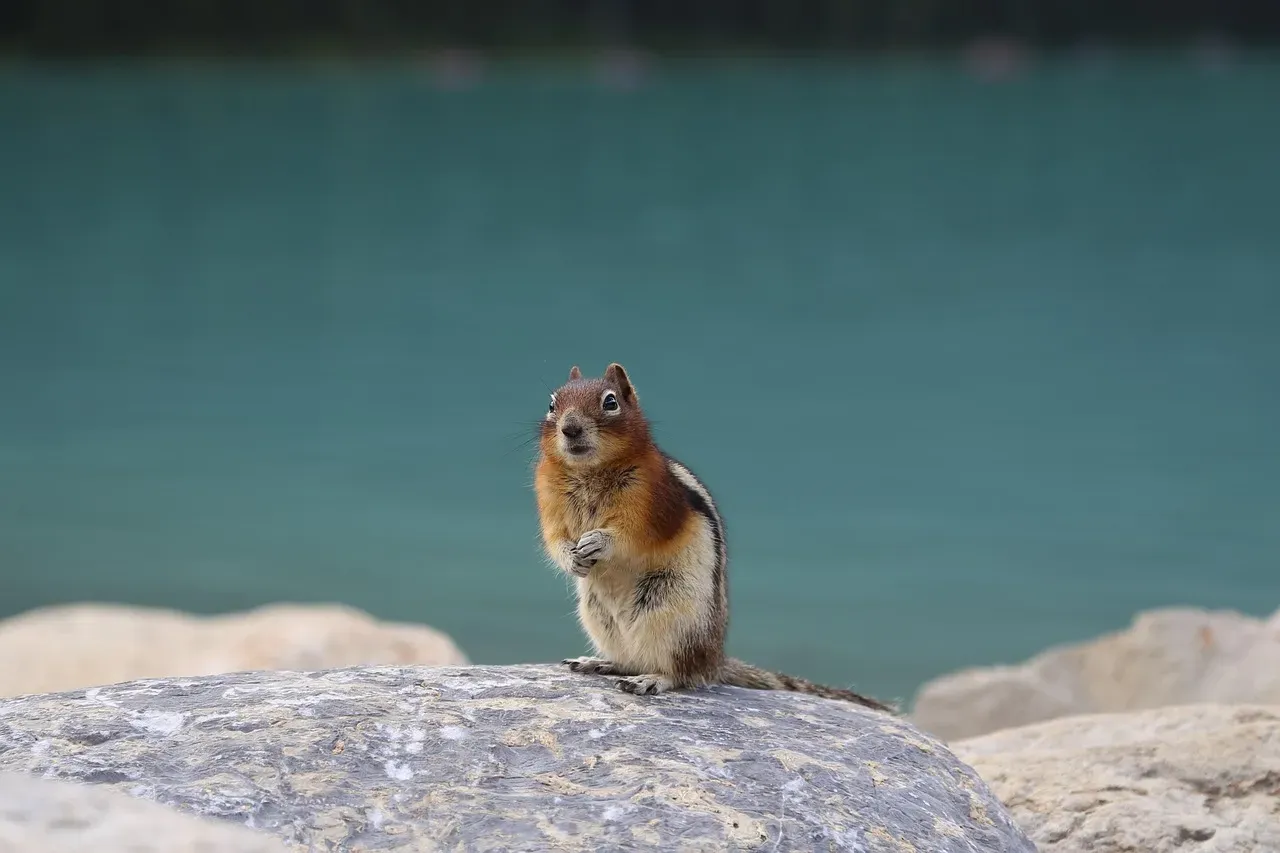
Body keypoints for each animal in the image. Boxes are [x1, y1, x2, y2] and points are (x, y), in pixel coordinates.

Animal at [533, 362, 894, 713]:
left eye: (610, 402)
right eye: (551, 404)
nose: (570, 428)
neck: (588, 471)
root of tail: (716, 661)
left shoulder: (653, 504)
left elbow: (632, 537)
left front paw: (598, 541)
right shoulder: (549, 502)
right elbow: (553, 538)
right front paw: (570, 557)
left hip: (672, 616)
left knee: (681, 673)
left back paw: (652, 679)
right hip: (598, 615)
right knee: (631, 660)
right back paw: (598, 662)